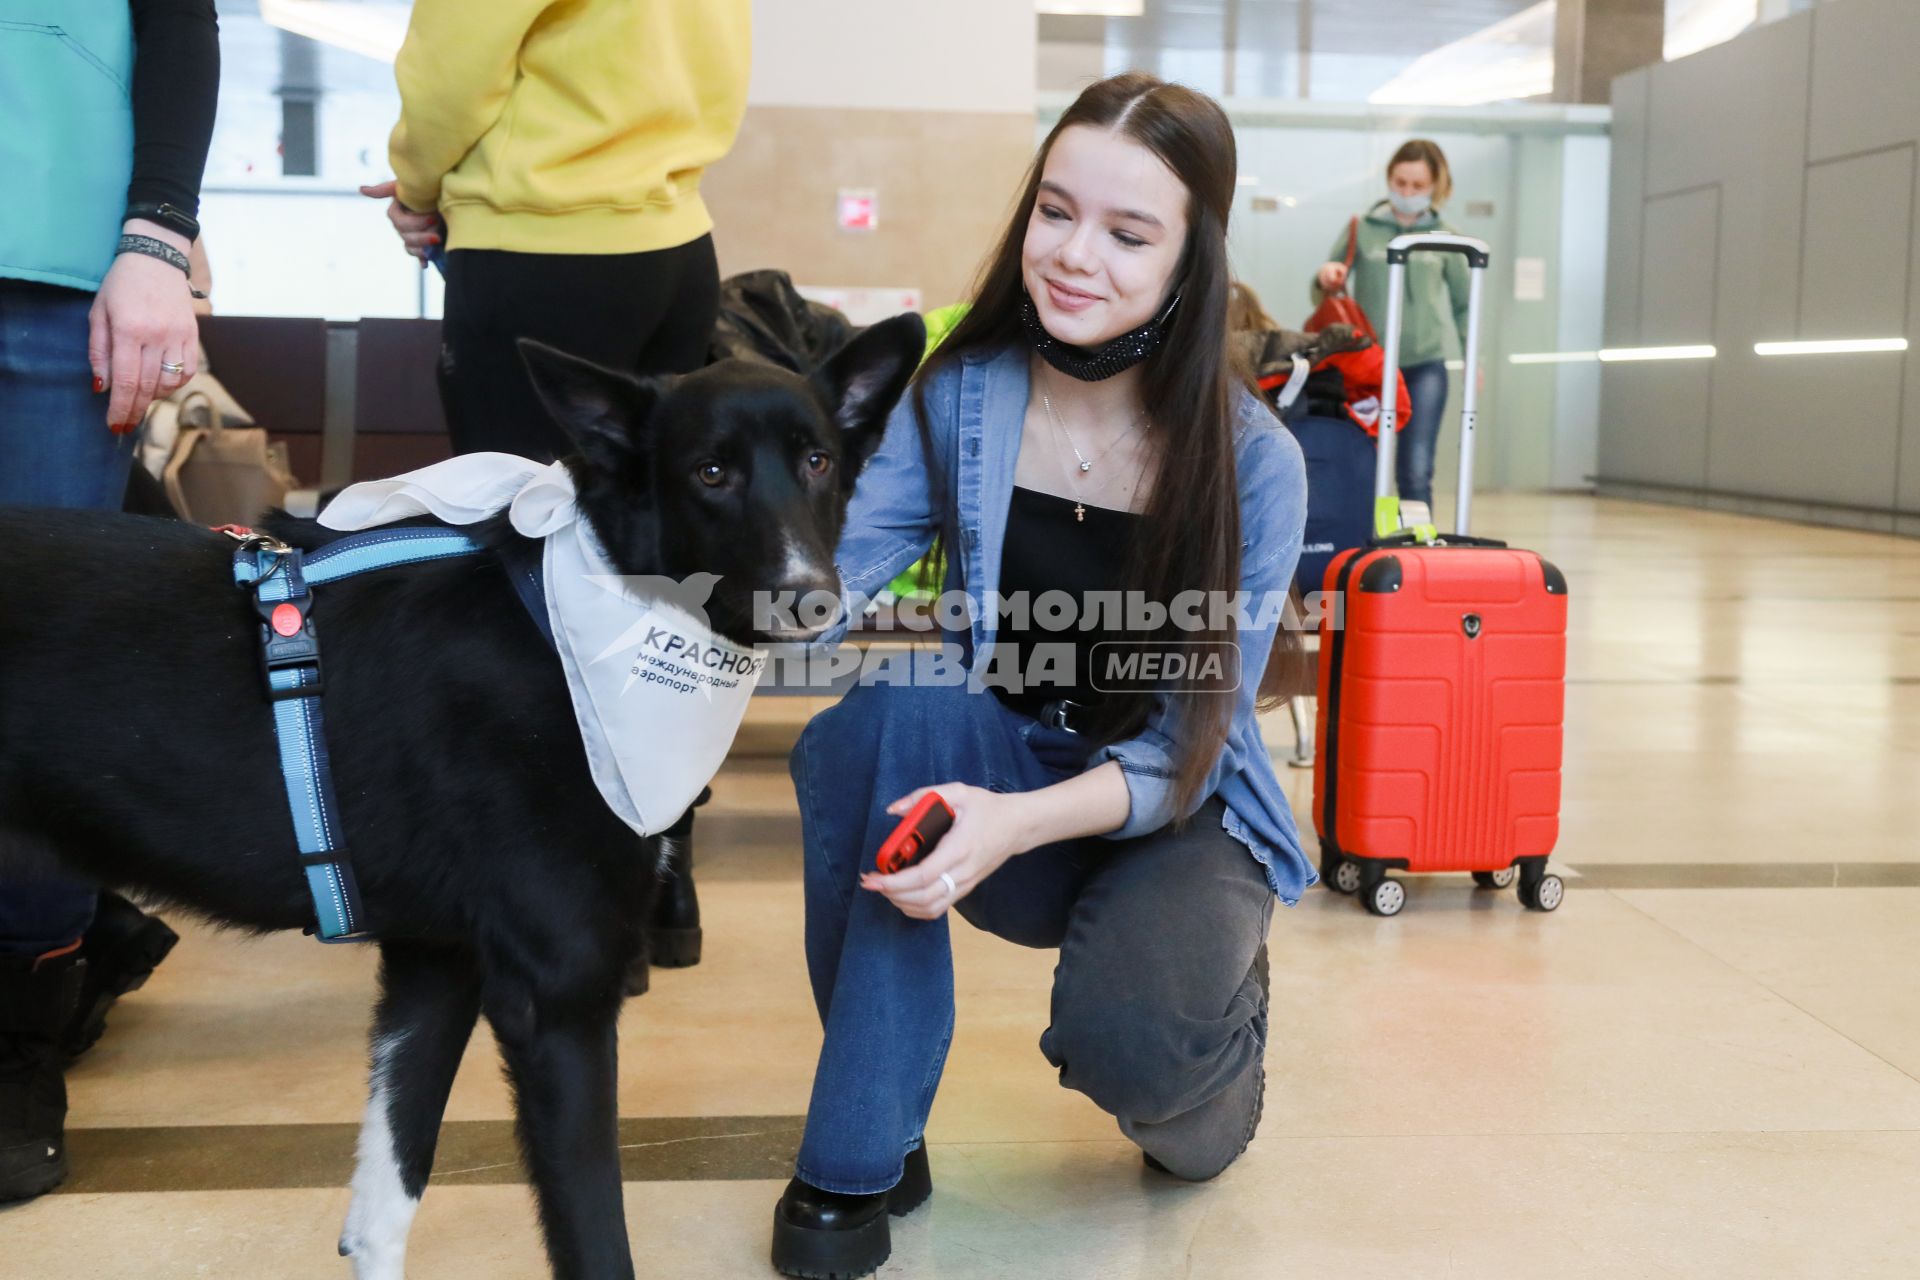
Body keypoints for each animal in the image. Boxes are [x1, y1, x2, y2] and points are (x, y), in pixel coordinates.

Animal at [0, 312, 929, 1280]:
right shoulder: (558, 1000)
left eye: (817, 460)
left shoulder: (432, 966)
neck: (577, 623)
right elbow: (597, 1240)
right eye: (711, 473)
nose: (811, 598)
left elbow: (384, 1209)